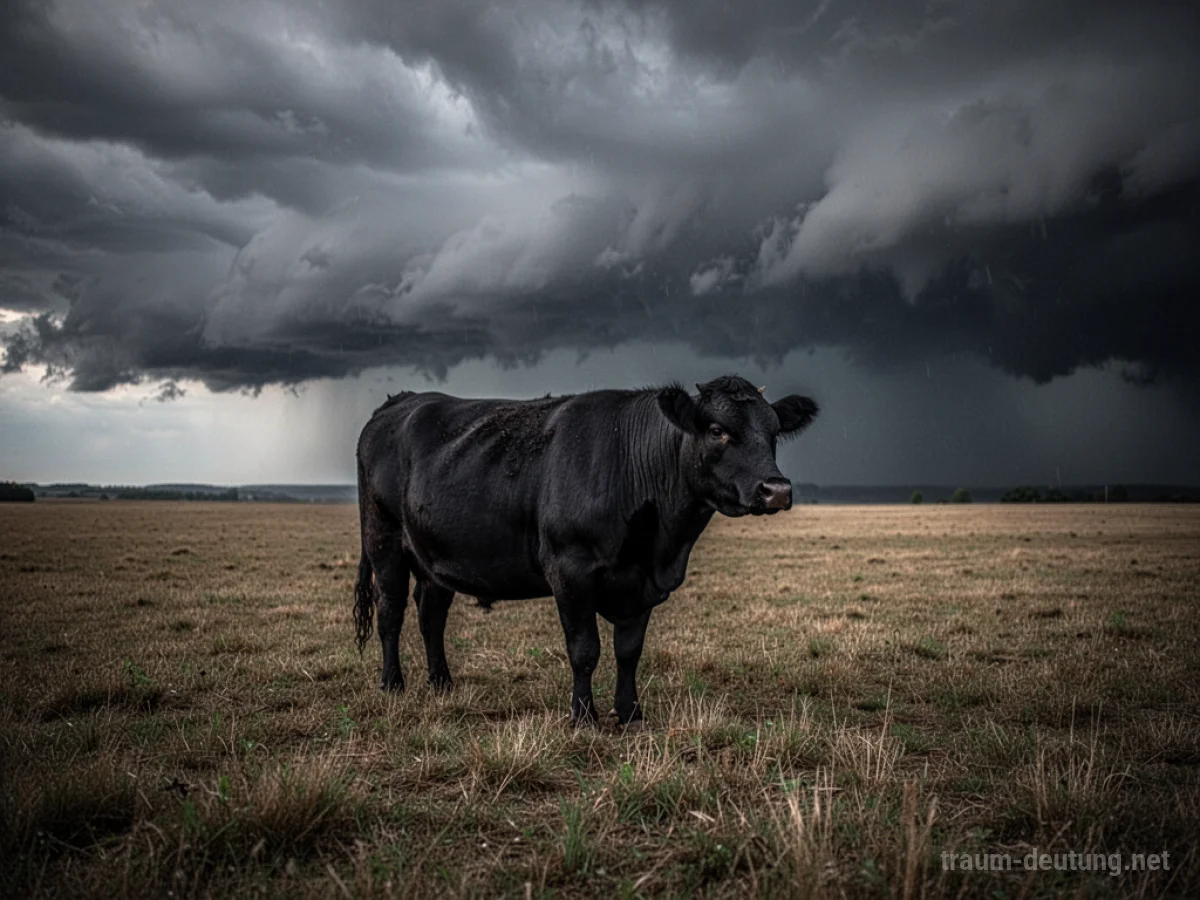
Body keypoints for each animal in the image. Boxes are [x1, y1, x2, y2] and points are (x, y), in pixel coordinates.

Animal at [353, 375, 818, 727]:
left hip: (434, 555)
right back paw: (392, 684)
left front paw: (630, 714)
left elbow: (628, 651)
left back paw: (442, 684)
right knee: (391, 610)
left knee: (431, 613)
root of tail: (401, 401)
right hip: (383, 540)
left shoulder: (642, 583)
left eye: (773, 432)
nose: (777, 490)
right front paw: (582, 716)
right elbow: (585, 649)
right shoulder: (570, 571)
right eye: (718, 430)